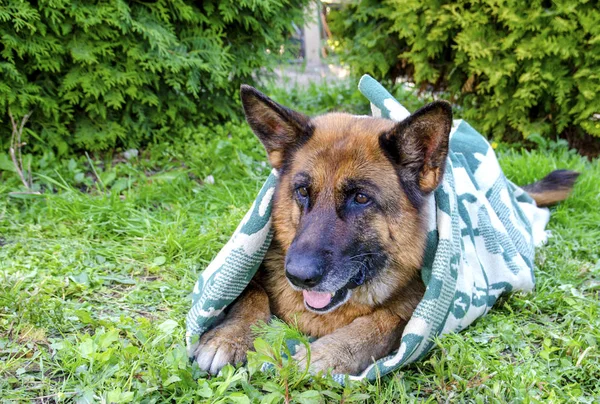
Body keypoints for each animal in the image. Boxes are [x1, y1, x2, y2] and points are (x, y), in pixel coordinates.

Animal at [195, 84, 580, 376]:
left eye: (361, 198)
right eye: (302, 191)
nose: (299, 276)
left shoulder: (417, 316)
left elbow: (377, 326)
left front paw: (324, 355)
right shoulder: (256, 268)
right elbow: (250, 294)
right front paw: (228, 337)